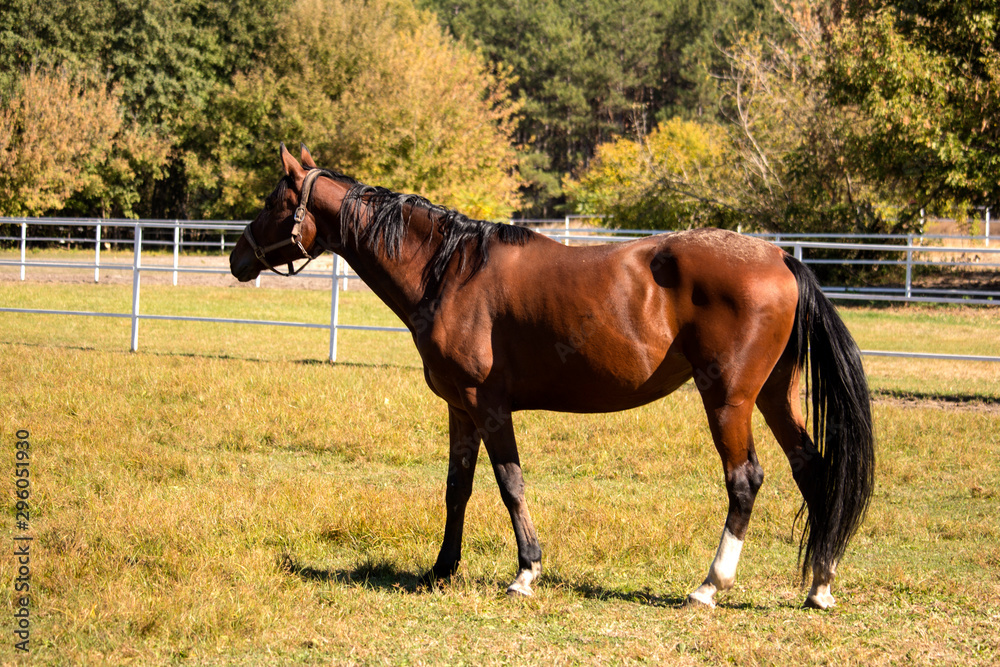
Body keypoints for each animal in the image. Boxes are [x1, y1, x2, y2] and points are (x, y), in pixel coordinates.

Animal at [230, 144, 875, 609]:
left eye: (274, 201)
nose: (237, 259)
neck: (451, 272)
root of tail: (780, 257)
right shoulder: (459, 409)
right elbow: (457, 488)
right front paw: (441, 569)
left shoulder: (488, 406)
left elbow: (510, 485)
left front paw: (525, 571)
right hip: (774, 395)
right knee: (812, 469)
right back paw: (819, 586)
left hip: (729, 399)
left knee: (745, 480)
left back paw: (710, 586)